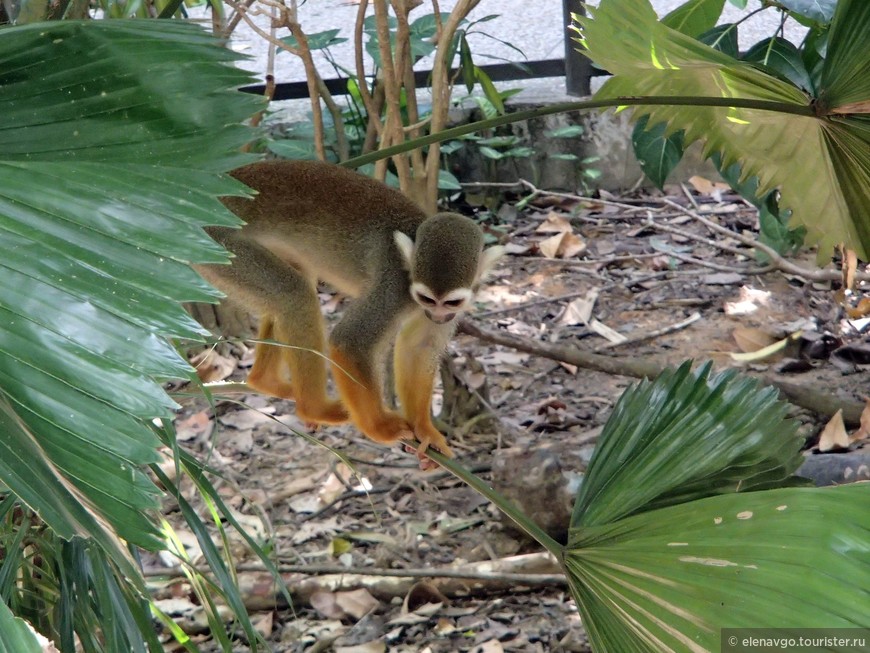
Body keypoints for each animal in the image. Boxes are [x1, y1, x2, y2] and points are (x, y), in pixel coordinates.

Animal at [199, 159, 504, 458]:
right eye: (427, 298)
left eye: (451, 303)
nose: (437, 315)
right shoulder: (393, 288)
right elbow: (350, 342)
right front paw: (381, 428)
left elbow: (420, 346)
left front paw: (424, 429)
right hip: (220, 245)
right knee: (294, 295)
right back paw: (314, 407)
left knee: (298, 283)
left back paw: (266, 381)